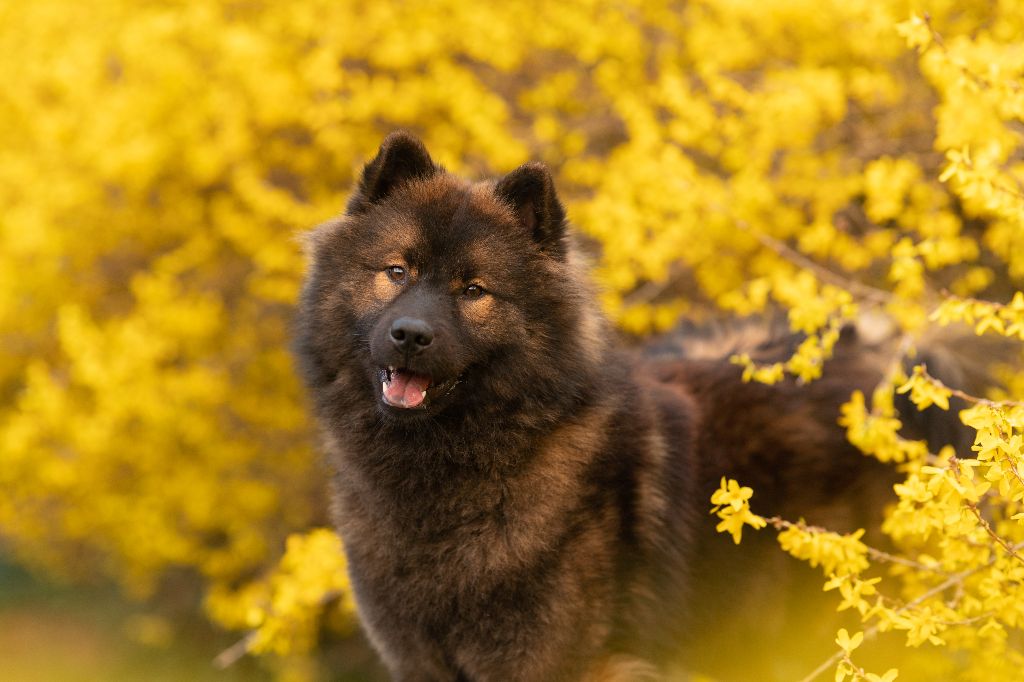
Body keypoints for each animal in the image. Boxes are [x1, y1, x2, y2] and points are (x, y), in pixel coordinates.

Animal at [292, 131, 946, 675]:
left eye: (474, 290)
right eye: (396, 271)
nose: (410, 334)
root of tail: (881, 355)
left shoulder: (550, 661)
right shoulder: (418, 658)